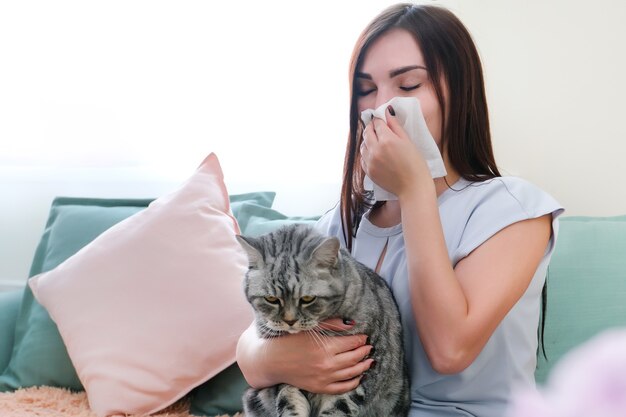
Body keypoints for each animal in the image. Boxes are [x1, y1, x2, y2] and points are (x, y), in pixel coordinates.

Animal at [236, 224, 408, 416]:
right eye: (271, 299)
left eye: (307, 298)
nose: (290, 321)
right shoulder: (285, 374)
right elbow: (289, 402)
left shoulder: (360, 373)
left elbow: (337, 409)